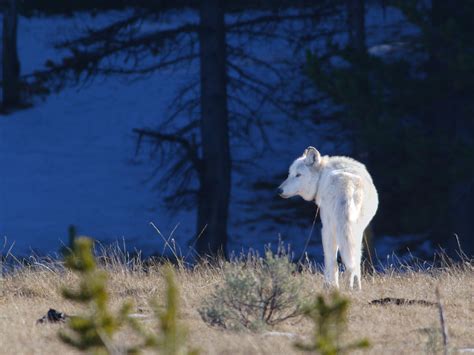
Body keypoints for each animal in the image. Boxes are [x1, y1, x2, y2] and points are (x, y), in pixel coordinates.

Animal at [278, 147, 378, 290]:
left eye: (298, 175)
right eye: (290, 174)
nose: (279, 190)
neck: (322, 175)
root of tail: (348, 185)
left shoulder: (326, 228)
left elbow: (330, 260)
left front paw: (329, 286)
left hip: (330, 229)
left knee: (333, 260)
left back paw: (333, 286)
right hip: (354, 230)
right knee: (354, 260)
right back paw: (353, 288)